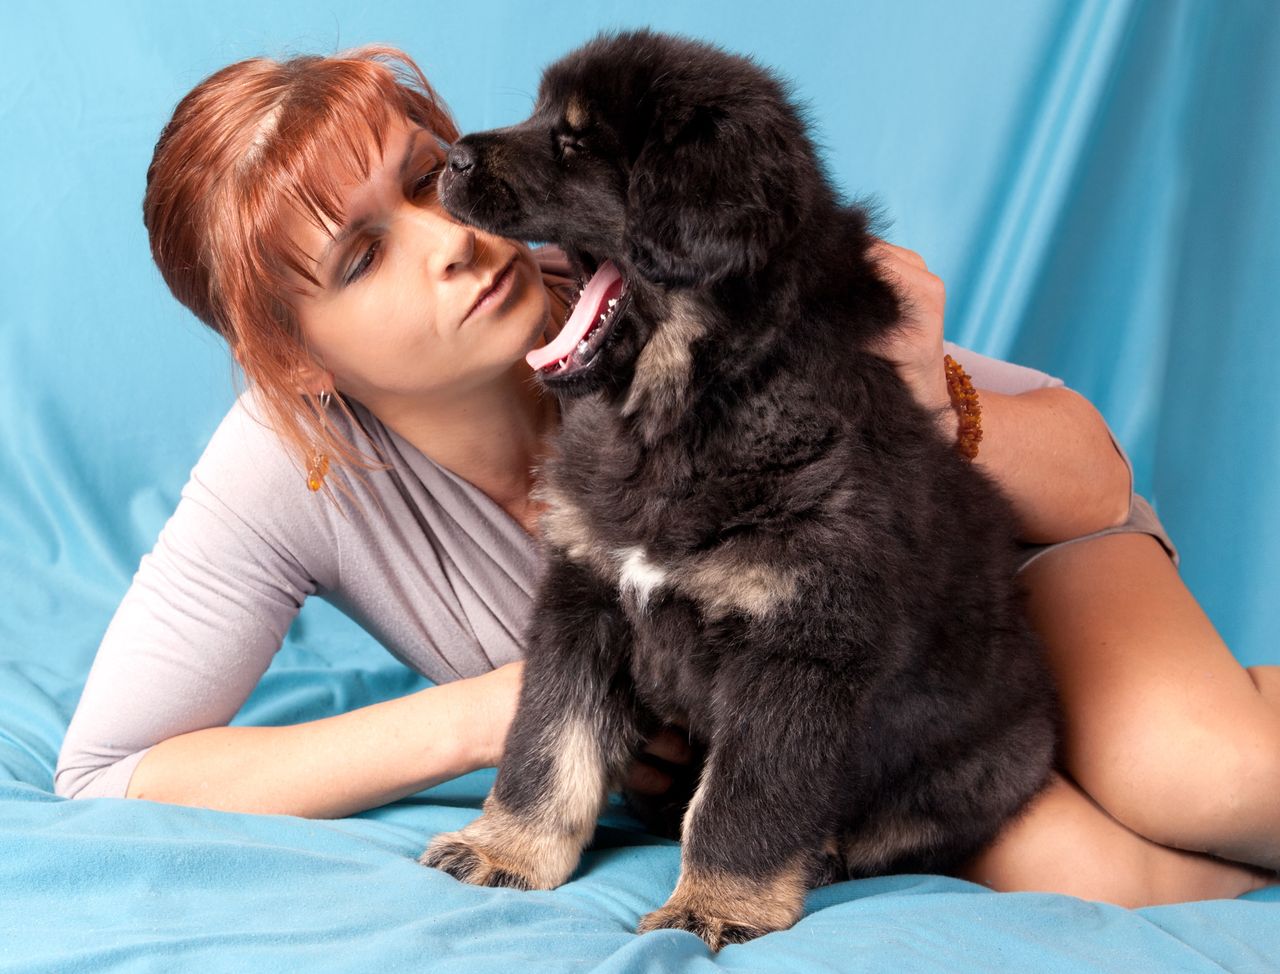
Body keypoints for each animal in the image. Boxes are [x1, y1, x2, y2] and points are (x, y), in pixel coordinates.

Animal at [422, 32, 1059, 952]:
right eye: (543, 115)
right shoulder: (586, 597)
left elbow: (743, 797)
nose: (448, 159)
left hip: (993, 759)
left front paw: (716, 905)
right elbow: (548, 743)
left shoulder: (799, 642)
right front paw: (505, 850)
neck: (684, 419)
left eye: (575, 141)